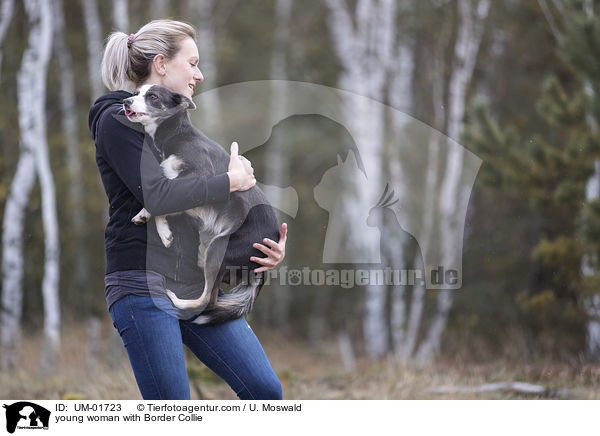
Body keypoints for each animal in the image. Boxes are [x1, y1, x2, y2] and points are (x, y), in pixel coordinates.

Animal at [123, 84, 282, 324]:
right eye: (135, 93)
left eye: (153, 97)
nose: (125, 102)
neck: (177, 134)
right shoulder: (187, 198)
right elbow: (163, 207)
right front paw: (163, 231)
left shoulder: (199, 176)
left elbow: (158, 205)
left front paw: (152, 222)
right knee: (211, 291)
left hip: (220, 246)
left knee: (206, 300)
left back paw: (176, 299)